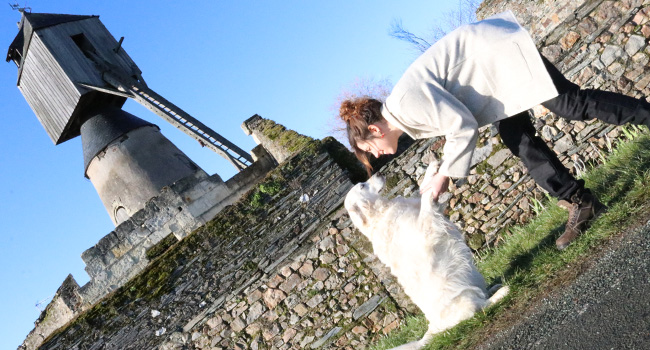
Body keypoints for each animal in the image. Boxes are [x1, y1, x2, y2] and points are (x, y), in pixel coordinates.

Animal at [344, 163, 506, 348]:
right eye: (362, 186)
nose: (378, 172)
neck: (379, 216)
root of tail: (433, 328)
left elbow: (425, 193)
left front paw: (431, 173)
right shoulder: (425, 229)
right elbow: (426, 202)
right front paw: (432, 172)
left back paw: (493, 288)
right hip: (465, 297)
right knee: (480, 309)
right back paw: (500, 294)